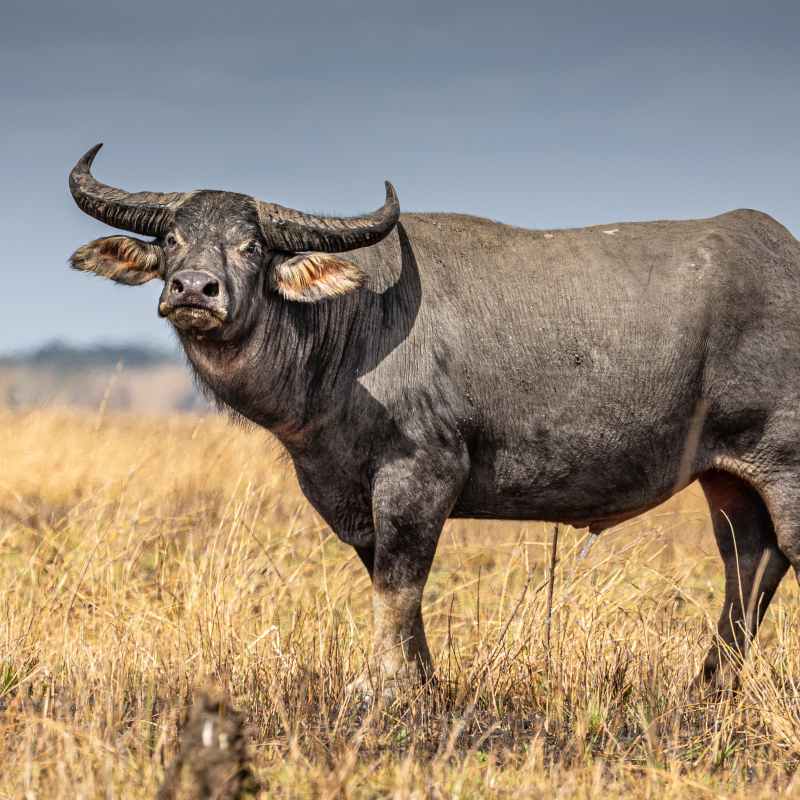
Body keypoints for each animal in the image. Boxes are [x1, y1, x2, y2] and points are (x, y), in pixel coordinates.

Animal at [68, 144, 800, 696]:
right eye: (172, 238)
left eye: (251, 246)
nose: (194, 289)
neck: (350, 328)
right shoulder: (348, 494)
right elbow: (391, 585)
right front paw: (422, 684)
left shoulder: (420, 476)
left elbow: (400, 585)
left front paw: (384, 688)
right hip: (728, 478)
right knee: (750, 563)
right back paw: (709, 686)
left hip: (784, 466)